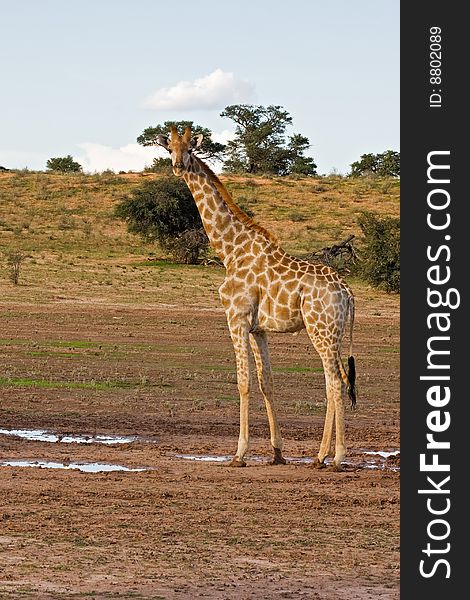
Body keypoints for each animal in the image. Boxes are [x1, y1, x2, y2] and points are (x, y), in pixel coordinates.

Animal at [155, 126, 356, 472]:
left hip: (321, 330)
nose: (179, 166)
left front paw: (239, 454)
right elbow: (266, 382)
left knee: (335, 382)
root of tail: (348, 293)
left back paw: (334, 457)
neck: (229, 251)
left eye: (190, 149)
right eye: (170, 148)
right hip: (335, 333)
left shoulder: (235, 318)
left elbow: (243, 382)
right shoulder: (258, 329)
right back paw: (320, 457)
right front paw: (277, 452)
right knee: (337, 379)